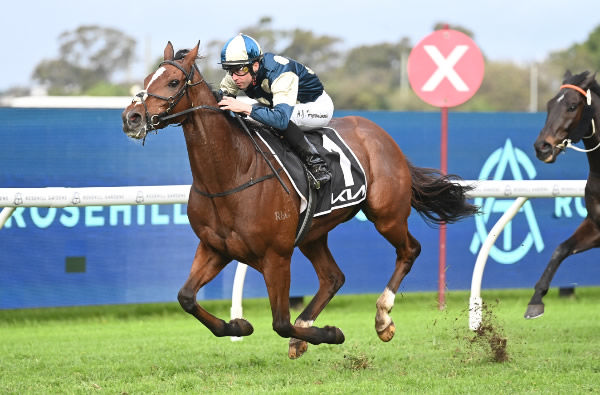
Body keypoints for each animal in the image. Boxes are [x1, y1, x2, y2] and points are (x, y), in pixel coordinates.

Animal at [122, 42, 478, 358]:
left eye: (173, 82)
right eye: (146, 80)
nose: (132, 117)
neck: (232, 173)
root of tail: (382, 136)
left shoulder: (276, 256)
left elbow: (280, 322)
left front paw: (330, 333)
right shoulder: (215, 248)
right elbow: (186, 298)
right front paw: (238, 325)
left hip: (386, 214)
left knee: (409, 250)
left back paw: (382, 319)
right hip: (312, 233)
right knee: (333, 277)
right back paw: (307, 327)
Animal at [528, 70, 600, 318]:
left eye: (572, 106)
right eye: (549, 105)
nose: (542, 147)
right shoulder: (595, 225)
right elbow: (561, 249)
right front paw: (536, 300)